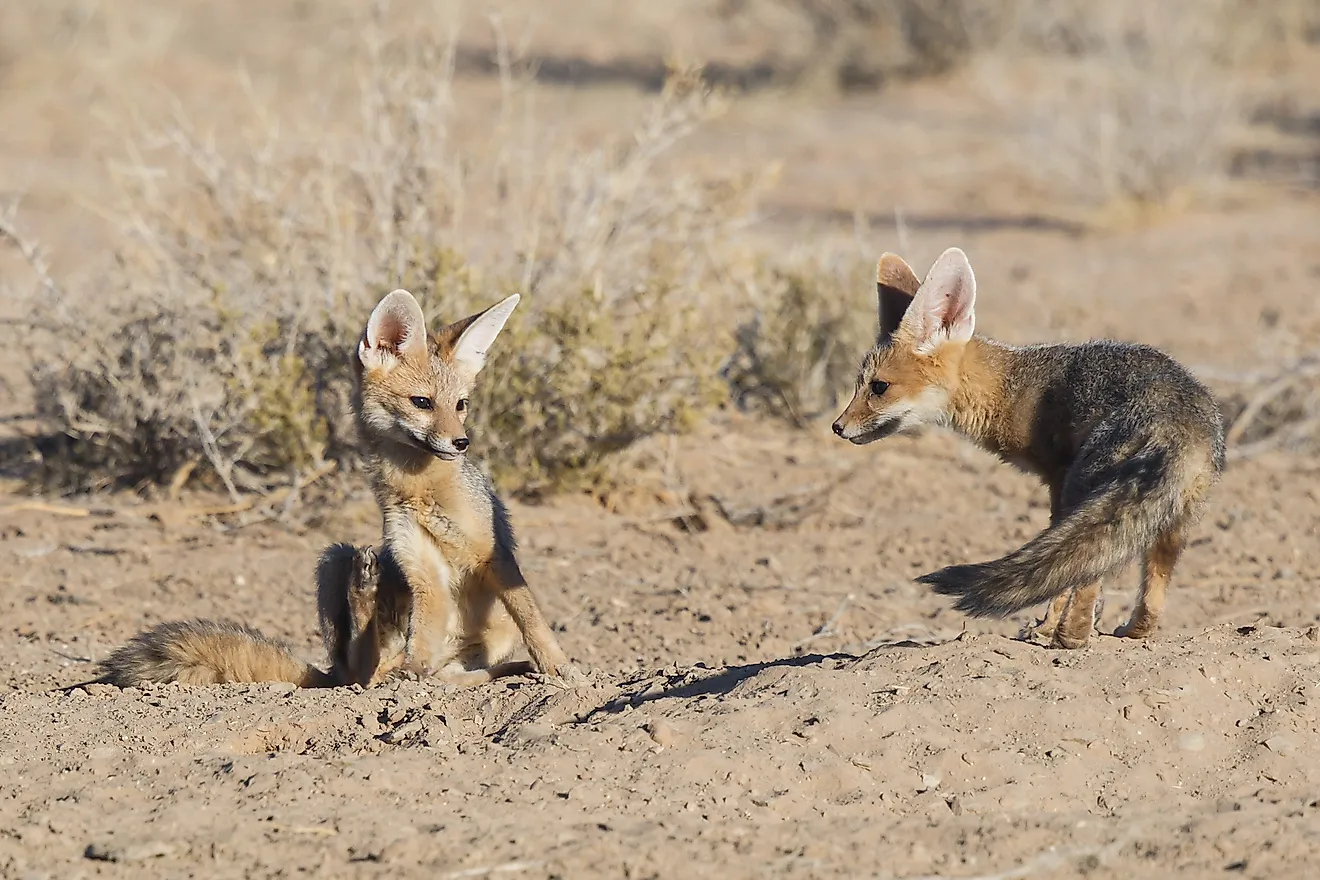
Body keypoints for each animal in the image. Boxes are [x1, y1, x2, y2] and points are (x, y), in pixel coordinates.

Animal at [93, 288, 578, 686]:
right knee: (358, 672)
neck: (422, 493)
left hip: (473, 648)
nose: (461, 442)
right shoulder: (421, 569)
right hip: (333, 558)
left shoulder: (493, 555)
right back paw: (367, 601)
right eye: (422, 403)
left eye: (461, 405)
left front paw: (558, 666)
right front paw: (414, 671)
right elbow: (420, 636)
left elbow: (531, 616)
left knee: (420, 672)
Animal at [834, 248, 1224, 646]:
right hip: (1172, 522)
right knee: (1151, 598)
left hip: (1088, 493)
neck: (1013, 388)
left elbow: (1062, 584)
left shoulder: (1057, 481)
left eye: (879, 387)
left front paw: (1047, 627)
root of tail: (1174, 418)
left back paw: (1069, 637)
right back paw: (1131, 632)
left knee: (1085, 576)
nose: (838, 427)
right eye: (858, 386)